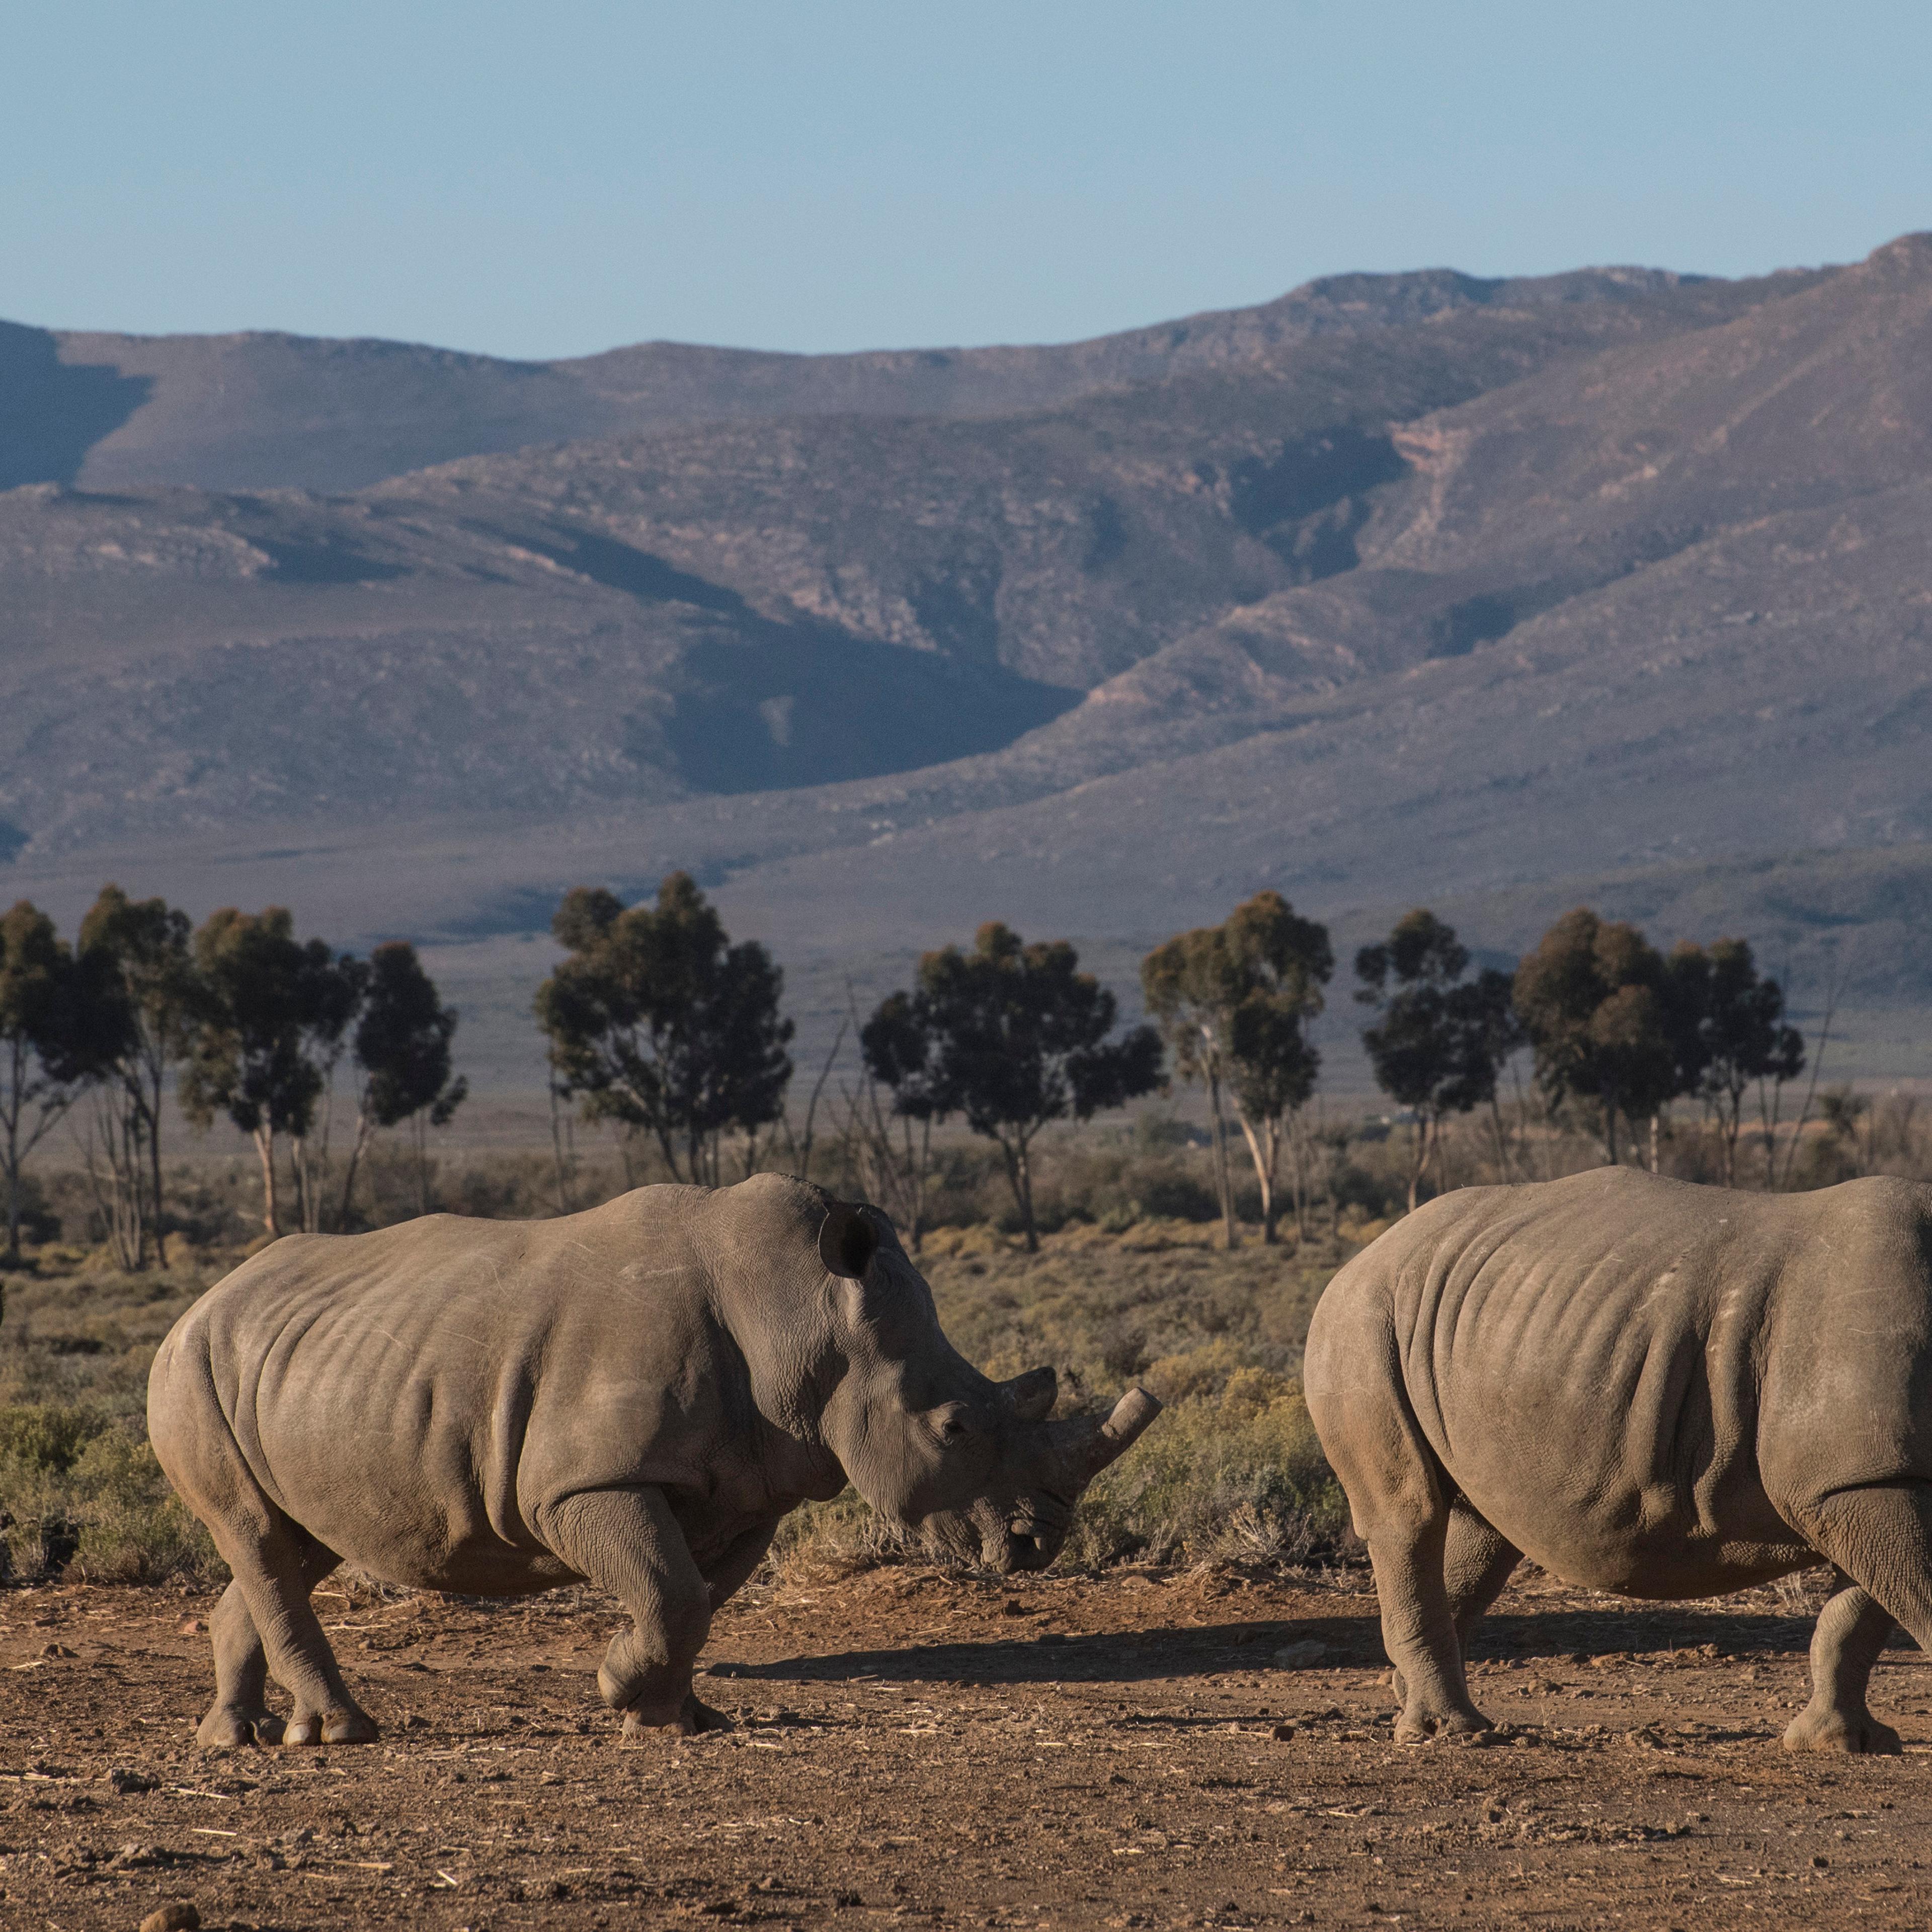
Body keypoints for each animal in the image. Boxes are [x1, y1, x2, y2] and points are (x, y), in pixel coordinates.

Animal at [148, 1174, 1159, 1747]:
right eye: (952, 1429)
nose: (1036, 1544)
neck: (807, 1312)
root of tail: (203, 1298)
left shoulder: (752, 1488)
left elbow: (694, 1597)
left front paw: (674, 1717)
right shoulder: (582, 1481)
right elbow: (671, 1592)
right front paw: (620, 1691)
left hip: (307, 1368)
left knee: (296, 1541)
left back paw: (233, 1741)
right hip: (193, 1367)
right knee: (257, 1532)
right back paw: (338, 1737)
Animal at [1305, 1168, 1932, 1752]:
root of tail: (1362, 1256)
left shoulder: (1866, 1480)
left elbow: (1860, 1613)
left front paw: (1841, 1743)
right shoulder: (1854, 1482)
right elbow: (1906, 1594)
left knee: (1481, 1528)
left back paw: (1416, 1706)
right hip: (1365, 1319)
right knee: (1410, 1516)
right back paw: (1446, 1732)